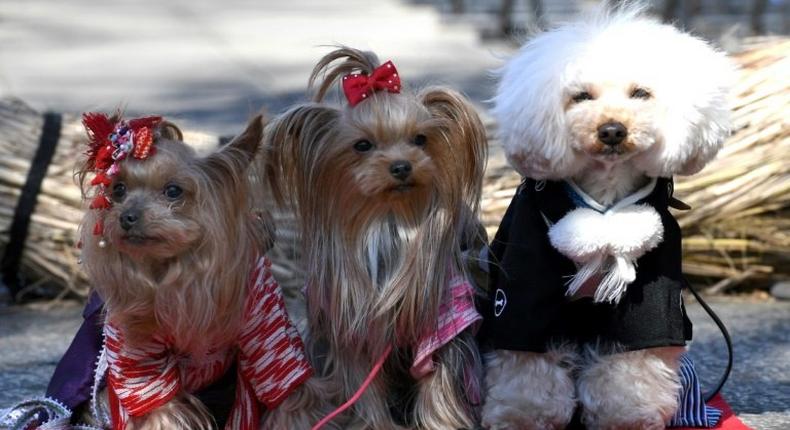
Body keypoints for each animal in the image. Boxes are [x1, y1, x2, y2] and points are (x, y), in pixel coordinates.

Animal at [78, 112, 316, 428]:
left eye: (173, 191)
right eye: (118, 189)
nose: (127, 217)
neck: (179, 268)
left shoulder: (268, 336)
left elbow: (289, 398)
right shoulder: (138, 356)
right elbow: (160, 409)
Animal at [266, 48, 488, 428]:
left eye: (420, 139)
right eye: (362, 145)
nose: (401, 166)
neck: (388, 221)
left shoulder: (443, 323)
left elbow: (437, 383)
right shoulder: (353, 330)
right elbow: (363, 387)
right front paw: (375, 423)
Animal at [482, 4, 736, 430]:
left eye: (641, 94)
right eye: (581, 96)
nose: (613, 130)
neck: (604, 205)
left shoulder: (654, 296)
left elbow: (631, 366)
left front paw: (628, 416)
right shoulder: (520, 294)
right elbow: (527, 366)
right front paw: (521, 417)